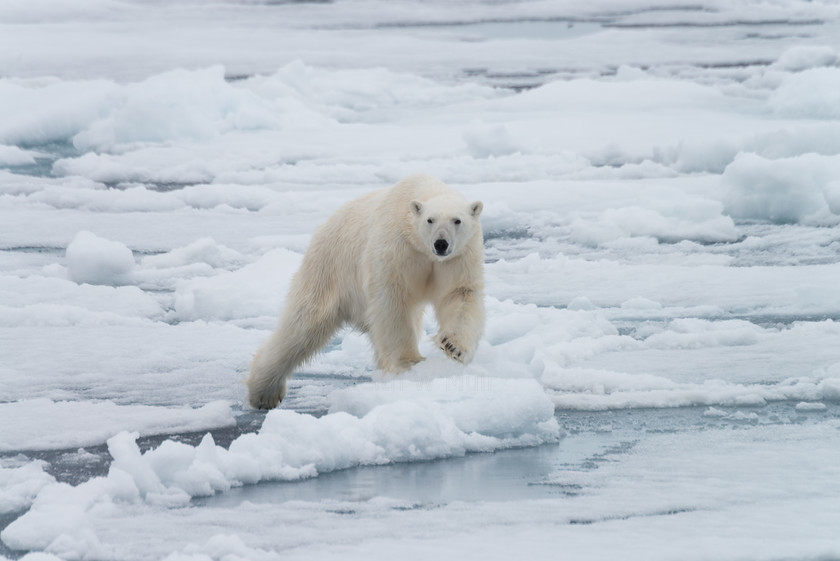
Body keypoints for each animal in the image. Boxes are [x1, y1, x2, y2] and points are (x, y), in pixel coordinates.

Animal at [246, 173, 486, 410]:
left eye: (457, 220)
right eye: (430, 220)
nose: (441, 243)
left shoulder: (458, 257)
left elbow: (460, 294)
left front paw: (453, 347)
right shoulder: (398, 249)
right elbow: (393, 302)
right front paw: (409, 362)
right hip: (328, 269)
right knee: (302, 325)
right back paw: (264, 393)